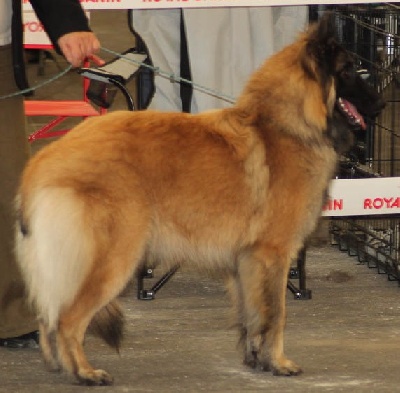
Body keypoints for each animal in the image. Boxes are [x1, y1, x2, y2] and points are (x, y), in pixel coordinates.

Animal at [14, 13, 384, 384]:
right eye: (349, 70)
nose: (382, 104)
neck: (286, 124)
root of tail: (44, 160)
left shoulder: (247, 260)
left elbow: (253, 316)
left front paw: (257, 359)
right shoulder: (273, 253)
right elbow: (277, 314)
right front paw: (279, 362)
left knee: (48, 314)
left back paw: (57, 364)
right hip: (115, 258)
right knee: (67, 319)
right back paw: (84, 372)